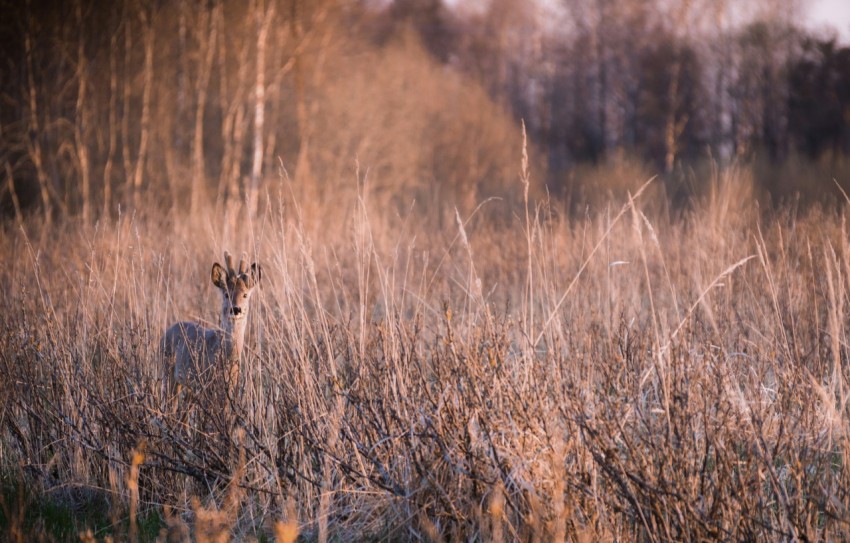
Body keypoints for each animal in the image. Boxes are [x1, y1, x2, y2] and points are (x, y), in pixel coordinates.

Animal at [161, 251, 262, 416]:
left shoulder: (228, 389)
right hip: (168, 373)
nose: (236, 309)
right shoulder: (208, 385)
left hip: (189, 387)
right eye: (227, 294)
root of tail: (166, 332)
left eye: (245, 295)